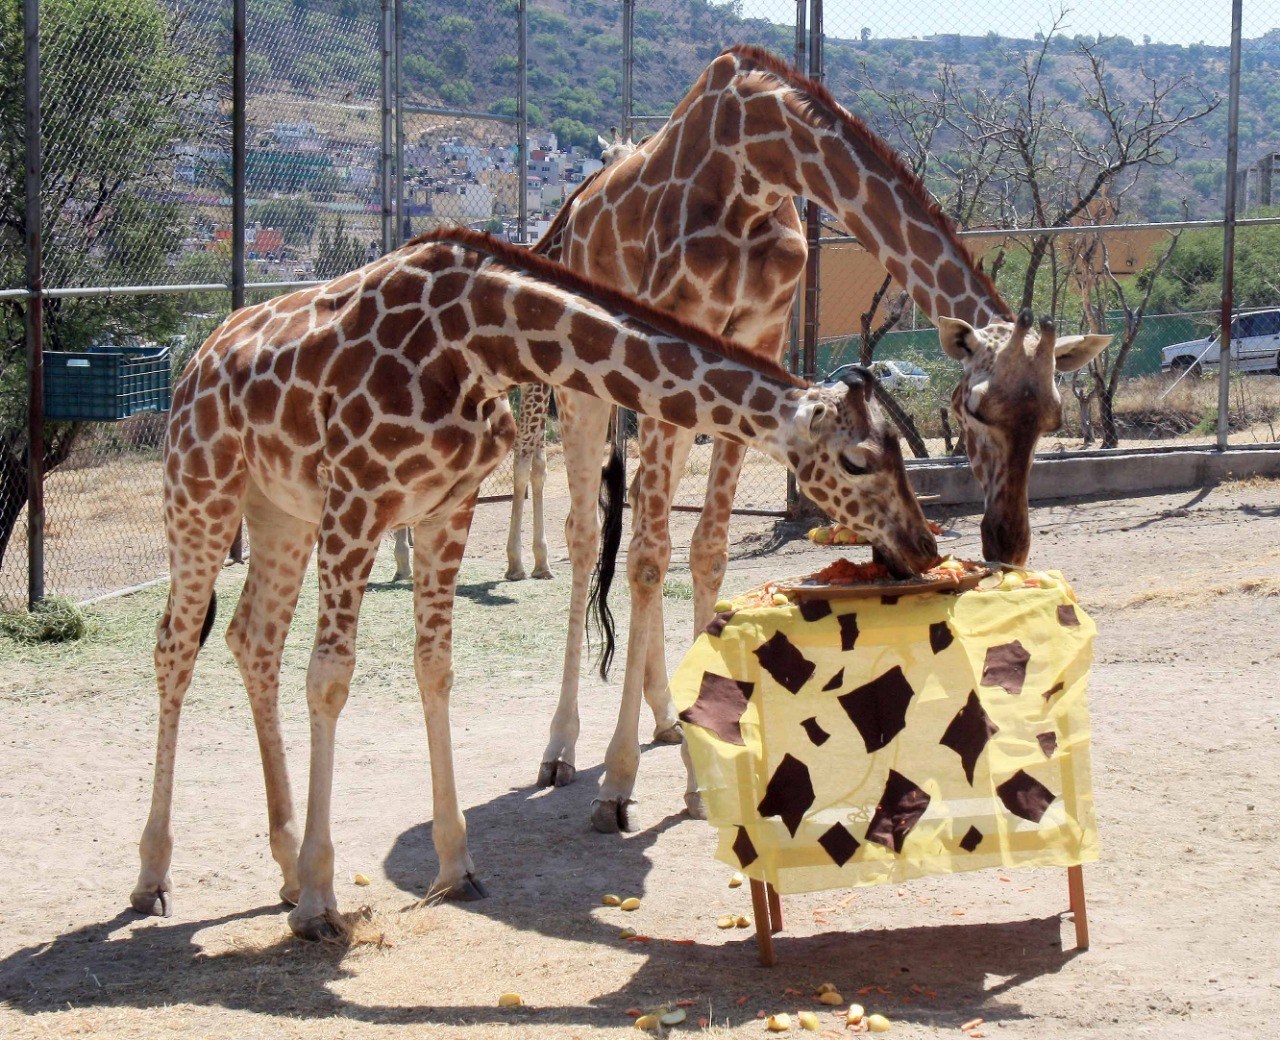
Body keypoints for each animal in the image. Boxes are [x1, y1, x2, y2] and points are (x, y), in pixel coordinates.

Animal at [130, 227, 937, 938]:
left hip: (278, 511)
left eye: (898, 449)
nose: (921, 545)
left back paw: (284, 868)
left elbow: (435, 667)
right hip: (202, 490)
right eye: (860, 460)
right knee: (175, 645)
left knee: (251, 640)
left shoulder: (445, 504)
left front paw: (454, 867)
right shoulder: (359, 498)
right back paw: (157, 878)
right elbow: (329, 679)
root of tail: (197, 360)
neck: (479, 339)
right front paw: (322, 905)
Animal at [504, 128, 639, 582]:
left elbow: (543, 467)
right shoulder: (534, 384)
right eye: (604, 156)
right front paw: (516, 561)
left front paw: (544, 557)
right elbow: (524, 461)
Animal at [530, 45, 1111, 832]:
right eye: (975, 407)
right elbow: (649, 556)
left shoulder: (757, 331)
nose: (1007, 543)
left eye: (1049, 417)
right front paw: (617, 783)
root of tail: (576, 208)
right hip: (583, 383)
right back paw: (560, 751)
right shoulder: (678, 324)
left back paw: (664, 718)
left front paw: (697, 774)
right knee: (590, 536)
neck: (760, 157)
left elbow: (706, 551)